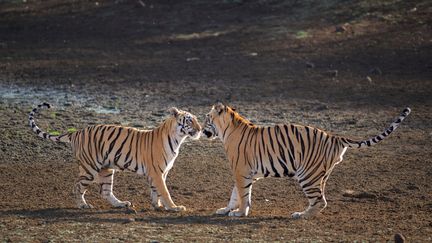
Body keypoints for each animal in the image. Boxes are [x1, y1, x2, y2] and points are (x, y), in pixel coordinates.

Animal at [28, 102, 201, 211]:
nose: (200, 129)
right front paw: (173, 207)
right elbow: (164, 191)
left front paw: (157, 206)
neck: (178, 139)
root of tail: (76, 132)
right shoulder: (157, 172)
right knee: (77, 186)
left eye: (197, 120)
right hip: (89, 169)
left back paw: (121, 204)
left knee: (105, 191)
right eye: (189, 121)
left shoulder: (159, 172)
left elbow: (155, 191)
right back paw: (83, 205)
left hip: (106, 169)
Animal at [202, 102, 412, 218]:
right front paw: (226, 209)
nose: (203, 129)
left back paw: (300, 216)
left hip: (307, 175)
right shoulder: (247, 173)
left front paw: (240, 212)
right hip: (320, 175)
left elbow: (243, 195)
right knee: (319, 199)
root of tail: (335, 137)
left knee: (320, 201)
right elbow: (235, 193)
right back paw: (303, 213)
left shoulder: (242, 171)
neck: (227, 130)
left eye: (206, 118)